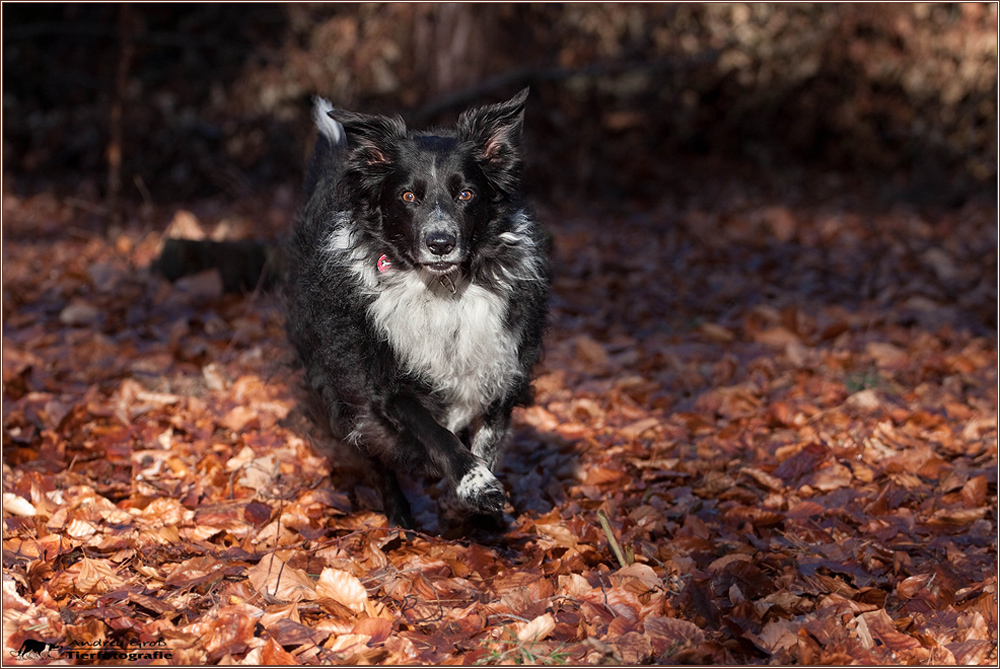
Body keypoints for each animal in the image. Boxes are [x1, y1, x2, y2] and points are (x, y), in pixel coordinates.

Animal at [286, 87, 552, 528]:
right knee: (374, 456)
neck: (442, 290)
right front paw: (476, 485)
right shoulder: (386, 385)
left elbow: (489, 436)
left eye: (466, 194)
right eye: (408, 196)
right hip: (340, 389)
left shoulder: (504, 367)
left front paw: (480, 506)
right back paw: (400, 516)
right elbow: (435, 433)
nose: (440, 242)